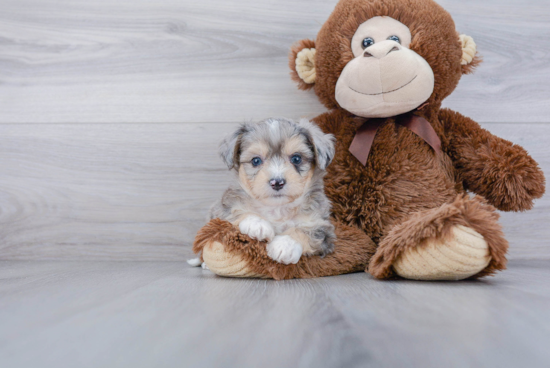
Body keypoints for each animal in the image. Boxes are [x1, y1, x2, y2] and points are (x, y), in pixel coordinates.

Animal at [206, 118, 336, 264]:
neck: (277, 209)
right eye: (256, 160)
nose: (277, 182)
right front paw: (257, 224)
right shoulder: (221, 211)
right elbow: (237, 212)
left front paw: (285, 245)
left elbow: (304, 231)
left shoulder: (322, 226)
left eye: (296, 158)